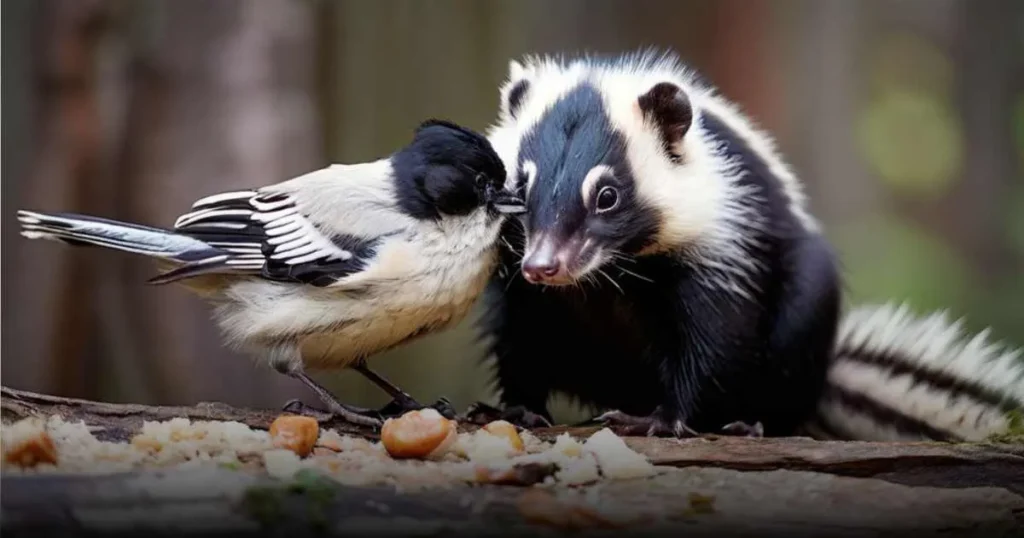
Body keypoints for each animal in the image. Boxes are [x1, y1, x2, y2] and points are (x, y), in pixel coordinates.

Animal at [473, 49, 1024, 440]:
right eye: (520, 185)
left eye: (607, 196)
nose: (544, 266)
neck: (613, 271)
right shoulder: (517, 279)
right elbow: (520, 331)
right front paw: (517, 409)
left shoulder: (723, 247)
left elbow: (716, 338)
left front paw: (661, 421)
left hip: (802, 314)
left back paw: (751, 422)